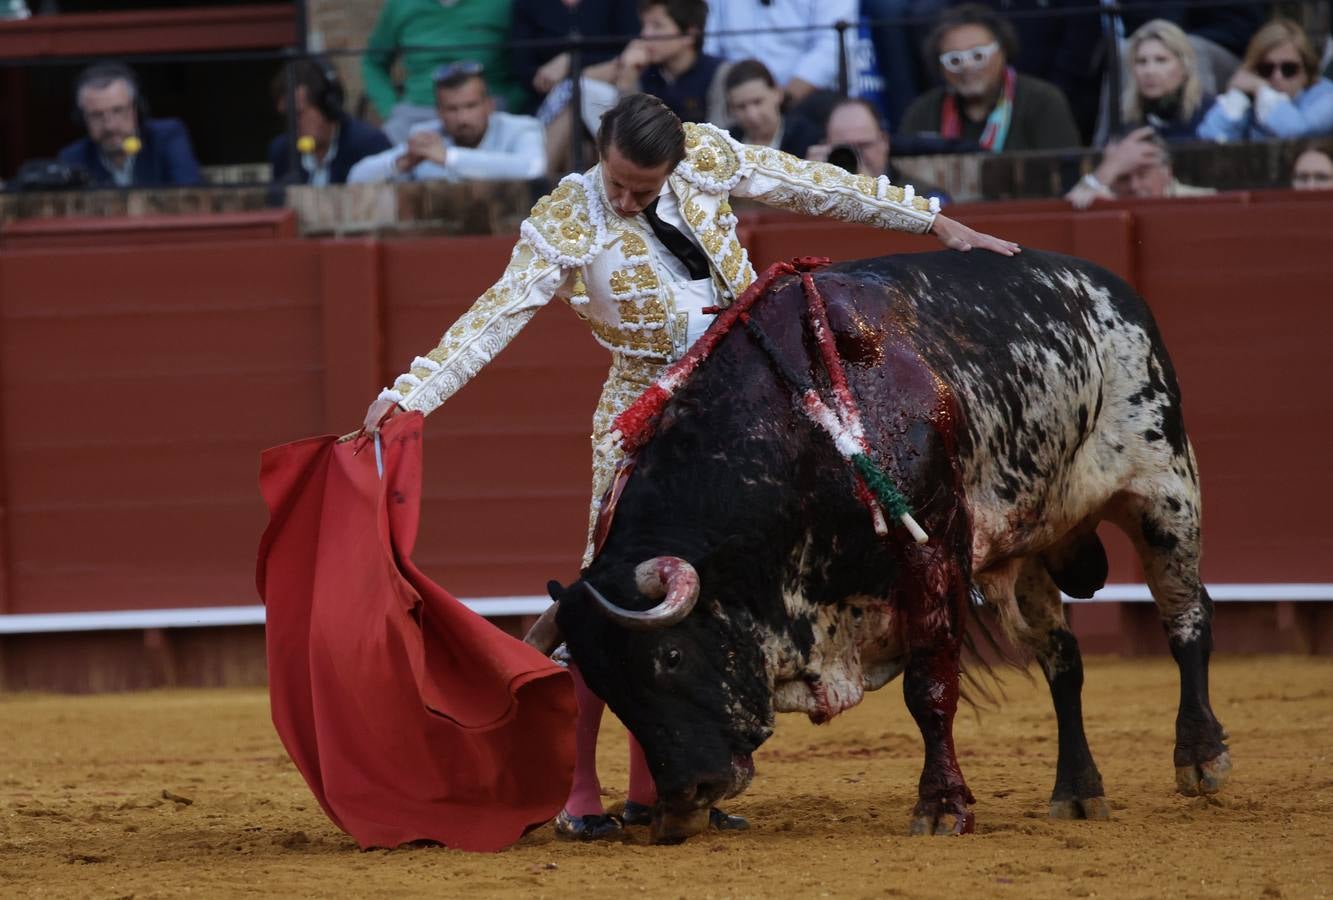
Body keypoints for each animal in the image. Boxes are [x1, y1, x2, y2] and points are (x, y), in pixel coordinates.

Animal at [530, 248, 1226, 842]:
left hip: (1164, 488)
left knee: (1186, 616)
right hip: (1022, 549)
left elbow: (929, 687)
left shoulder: (932, 549)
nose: (682, 800)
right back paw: (1078, 791)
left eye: (670, 657)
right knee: (1064, 659)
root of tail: (1112, 287)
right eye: (606, 683)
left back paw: (1201, 758)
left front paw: (943, 808)